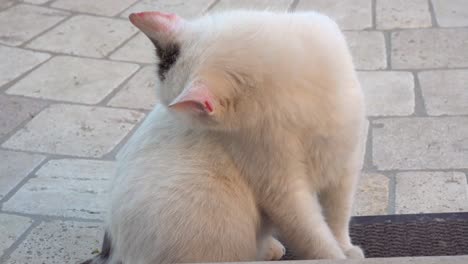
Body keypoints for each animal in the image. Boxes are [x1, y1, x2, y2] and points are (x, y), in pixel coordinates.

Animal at [98, 8, 364, 264]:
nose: (177, 124)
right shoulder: (281, 187)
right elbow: (313, 234)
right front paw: (336, 256)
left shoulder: (345, 163)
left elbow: (337, 217)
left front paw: (345, 248)